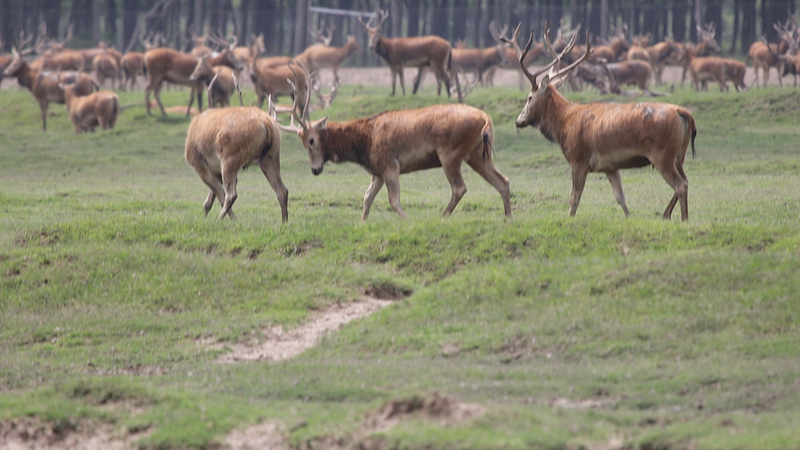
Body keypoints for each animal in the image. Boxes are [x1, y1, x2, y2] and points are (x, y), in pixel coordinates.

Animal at [278, 74, 511, 221]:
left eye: (311, 140)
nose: (315, 169)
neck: (364, 144)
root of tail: (486, 119)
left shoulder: (390, 164)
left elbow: (393, 201)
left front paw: (409, 220)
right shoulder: (377, 172)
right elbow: (367, 198)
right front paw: (362, 222)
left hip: (450, 154)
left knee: (459, 187)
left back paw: (442, 217)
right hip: (477, 155)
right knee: (503, 181)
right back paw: (508, 218)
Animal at [512, 24, 697, 221]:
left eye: (529, 97)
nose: (518, 121)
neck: (564, 125)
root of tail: (685, 113)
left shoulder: (578, 159)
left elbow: (574, 199)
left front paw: (570, 219)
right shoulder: (610, 166)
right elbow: (620, 198)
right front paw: (629, 218)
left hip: (662, 154)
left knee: (680, 185)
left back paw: (683, 219)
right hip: (679, 155)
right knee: (686, 180)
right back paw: (666, 214)